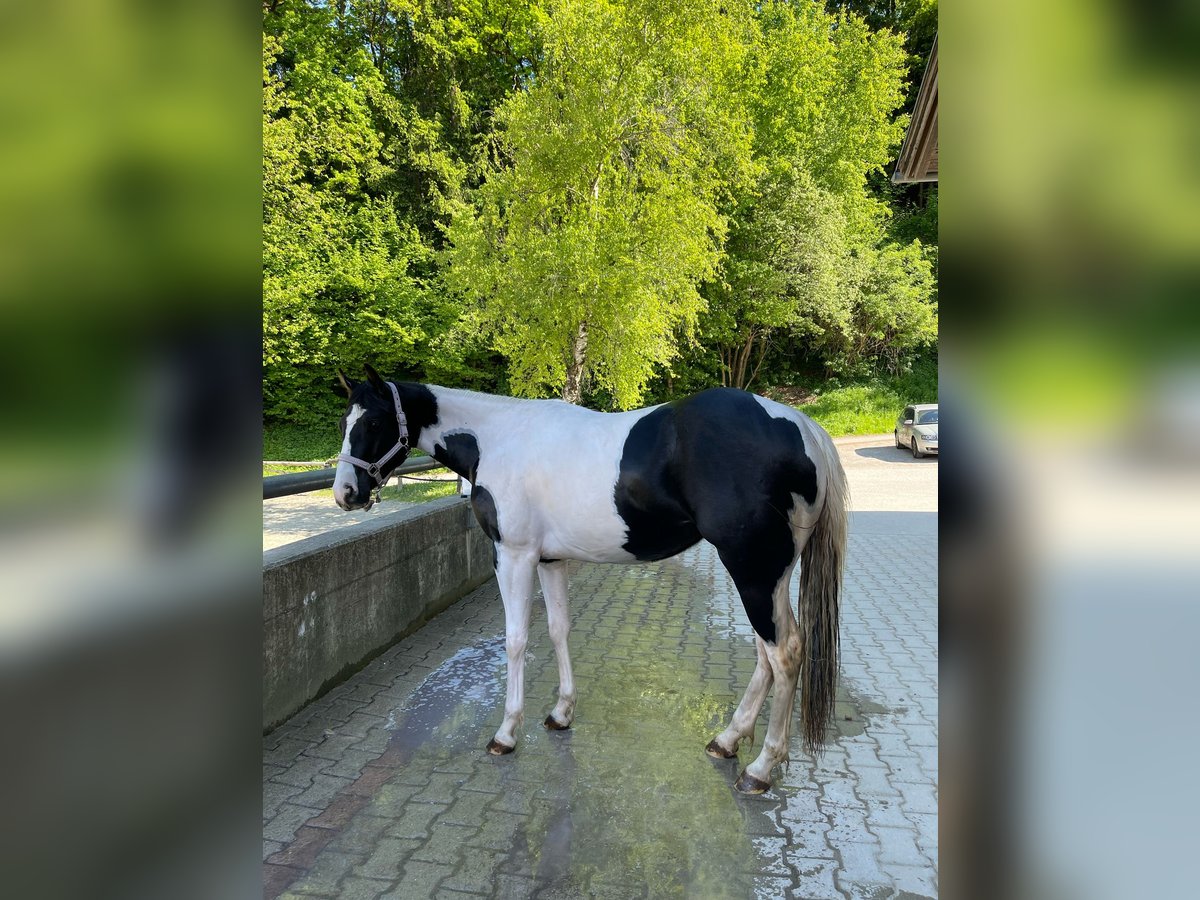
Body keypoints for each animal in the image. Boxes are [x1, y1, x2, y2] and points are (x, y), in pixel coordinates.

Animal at [333, 365, 848, 793]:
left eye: (373, 423)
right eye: (344, 422)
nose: (346, 494)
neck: (499, 437)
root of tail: (803, 427)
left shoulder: (514, 556)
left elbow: (516, 640)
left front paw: (506, 733)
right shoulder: (550, 561)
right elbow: (558, 630)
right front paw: (560, 713)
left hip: (753, 571)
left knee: (785, 653)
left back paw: (760, 769)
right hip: (762, 575)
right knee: (767, 656)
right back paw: (727, 739)